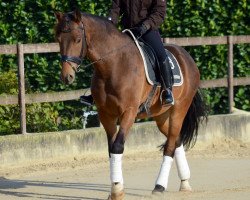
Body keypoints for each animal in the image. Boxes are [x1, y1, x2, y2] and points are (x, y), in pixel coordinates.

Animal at [54, 9, 207, 198]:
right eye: (58, 39)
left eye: (77, 39)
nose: (66, 76)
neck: (114, 64)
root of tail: (187, 57)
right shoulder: (106, 114)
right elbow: (111, 149)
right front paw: (115, 189)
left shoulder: (129, 112)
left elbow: (118, 146)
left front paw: (117, 190)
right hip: (161, 116)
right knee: (176, 140)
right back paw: (185, 182)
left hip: (179, 110)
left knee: (170, 145)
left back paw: (159, 186)